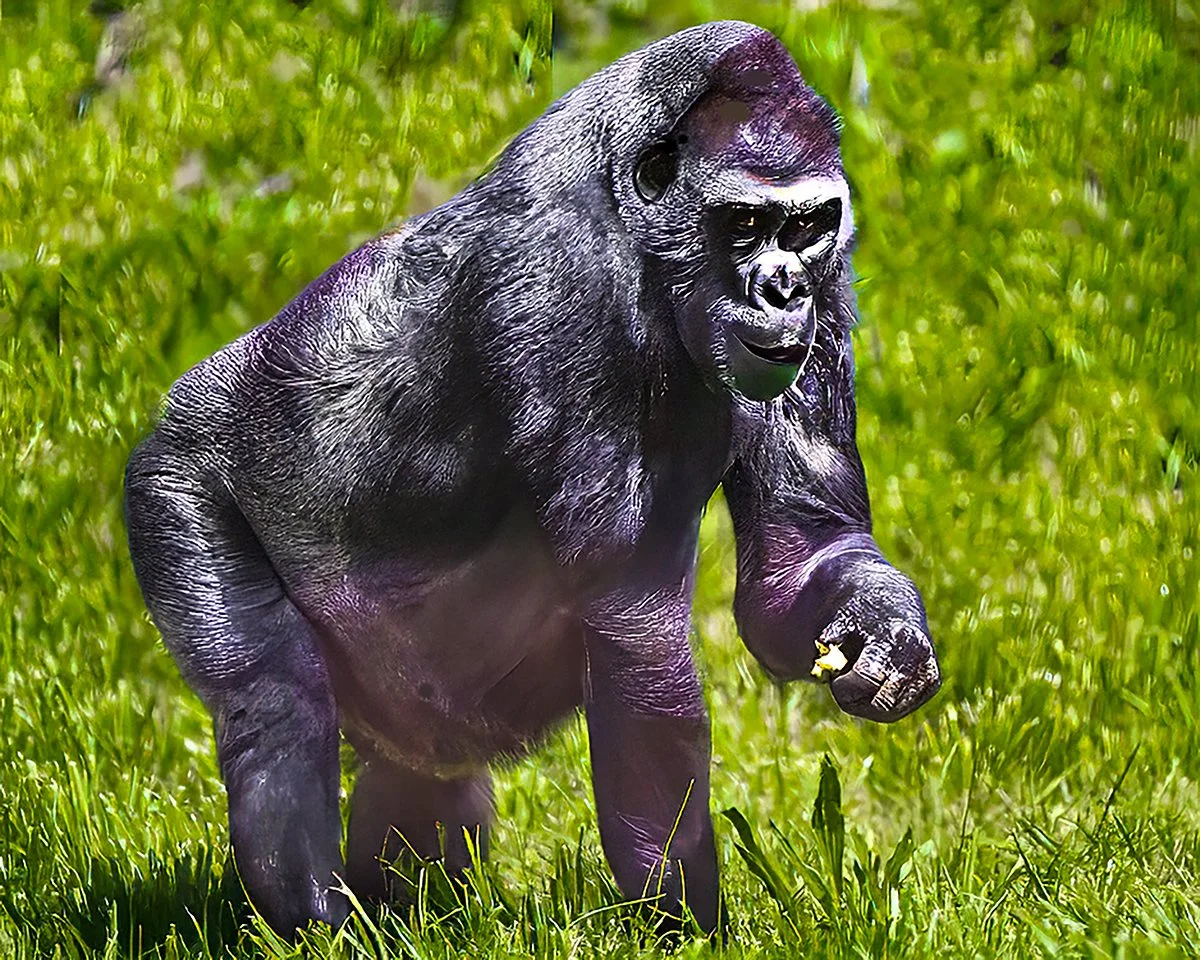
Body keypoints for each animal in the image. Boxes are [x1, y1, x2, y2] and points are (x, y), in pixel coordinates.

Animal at [123, 20, 941, 936]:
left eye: (806, 227)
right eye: (743, 223)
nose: (785, 287)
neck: (638, 216)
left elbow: (800, 560)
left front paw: (885, 633)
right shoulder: (560, 285)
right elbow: (636, 639)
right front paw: (682, 926)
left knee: (419, 776)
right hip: (176, 478)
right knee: (272, 701)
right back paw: (312, 920)